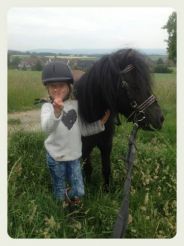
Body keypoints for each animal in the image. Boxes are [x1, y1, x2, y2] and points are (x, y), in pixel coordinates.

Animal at [74, 49, 165, 189]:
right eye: (135, 85)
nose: (160, 118)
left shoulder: (106, 145)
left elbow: (106, 169)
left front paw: (106, 190)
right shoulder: (84, 148)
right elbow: (87, 169)